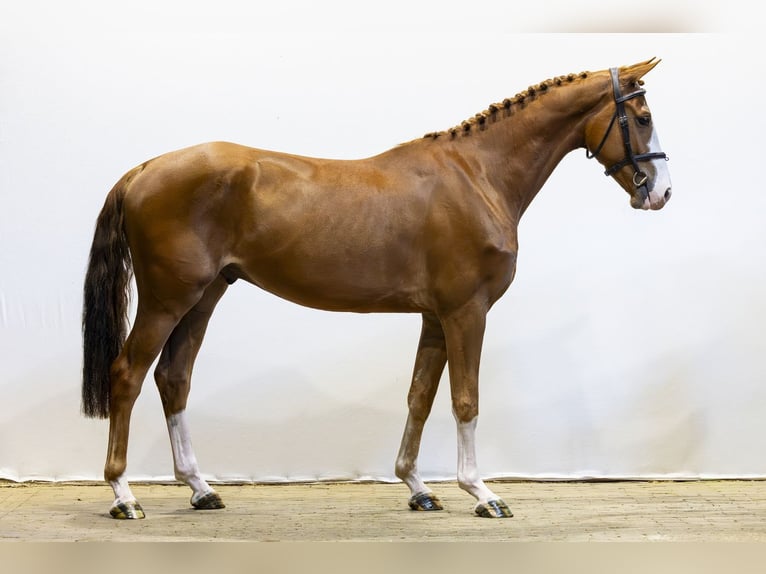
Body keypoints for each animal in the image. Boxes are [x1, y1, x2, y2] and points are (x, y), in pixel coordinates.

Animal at [82, 58, 671, 520]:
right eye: (642, 118)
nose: (660, 192)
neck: (477, 175)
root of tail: (145, 169)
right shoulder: (467, 312)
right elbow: (465, 399)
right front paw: (482, 493)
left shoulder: (435, 317)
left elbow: (420, 396)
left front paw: (418, 487)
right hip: (167, 299)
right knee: (127, 374)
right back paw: (123, 495)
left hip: (204, 296)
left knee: (173, 376)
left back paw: (201, 490)